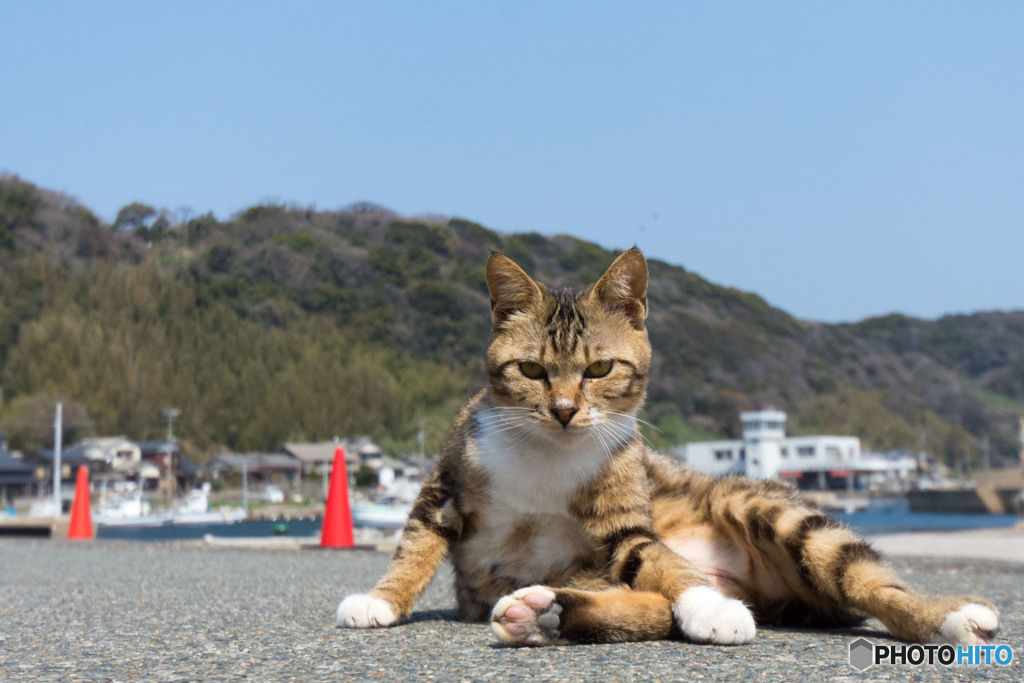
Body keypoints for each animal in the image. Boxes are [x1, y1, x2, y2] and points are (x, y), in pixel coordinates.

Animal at [337, 248, 999, 651]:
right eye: (530, 370)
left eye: (600, 369)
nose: (564, 410)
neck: (547, 454)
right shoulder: (444, 487)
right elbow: (414, 549)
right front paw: (381, 601)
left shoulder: (625, 526)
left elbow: (659, 558)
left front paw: (708, 606)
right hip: (582, 571)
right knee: (645, 604)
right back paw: (545, 614)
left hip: (772, 511)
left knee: (871, 584)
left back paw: (949, 616)